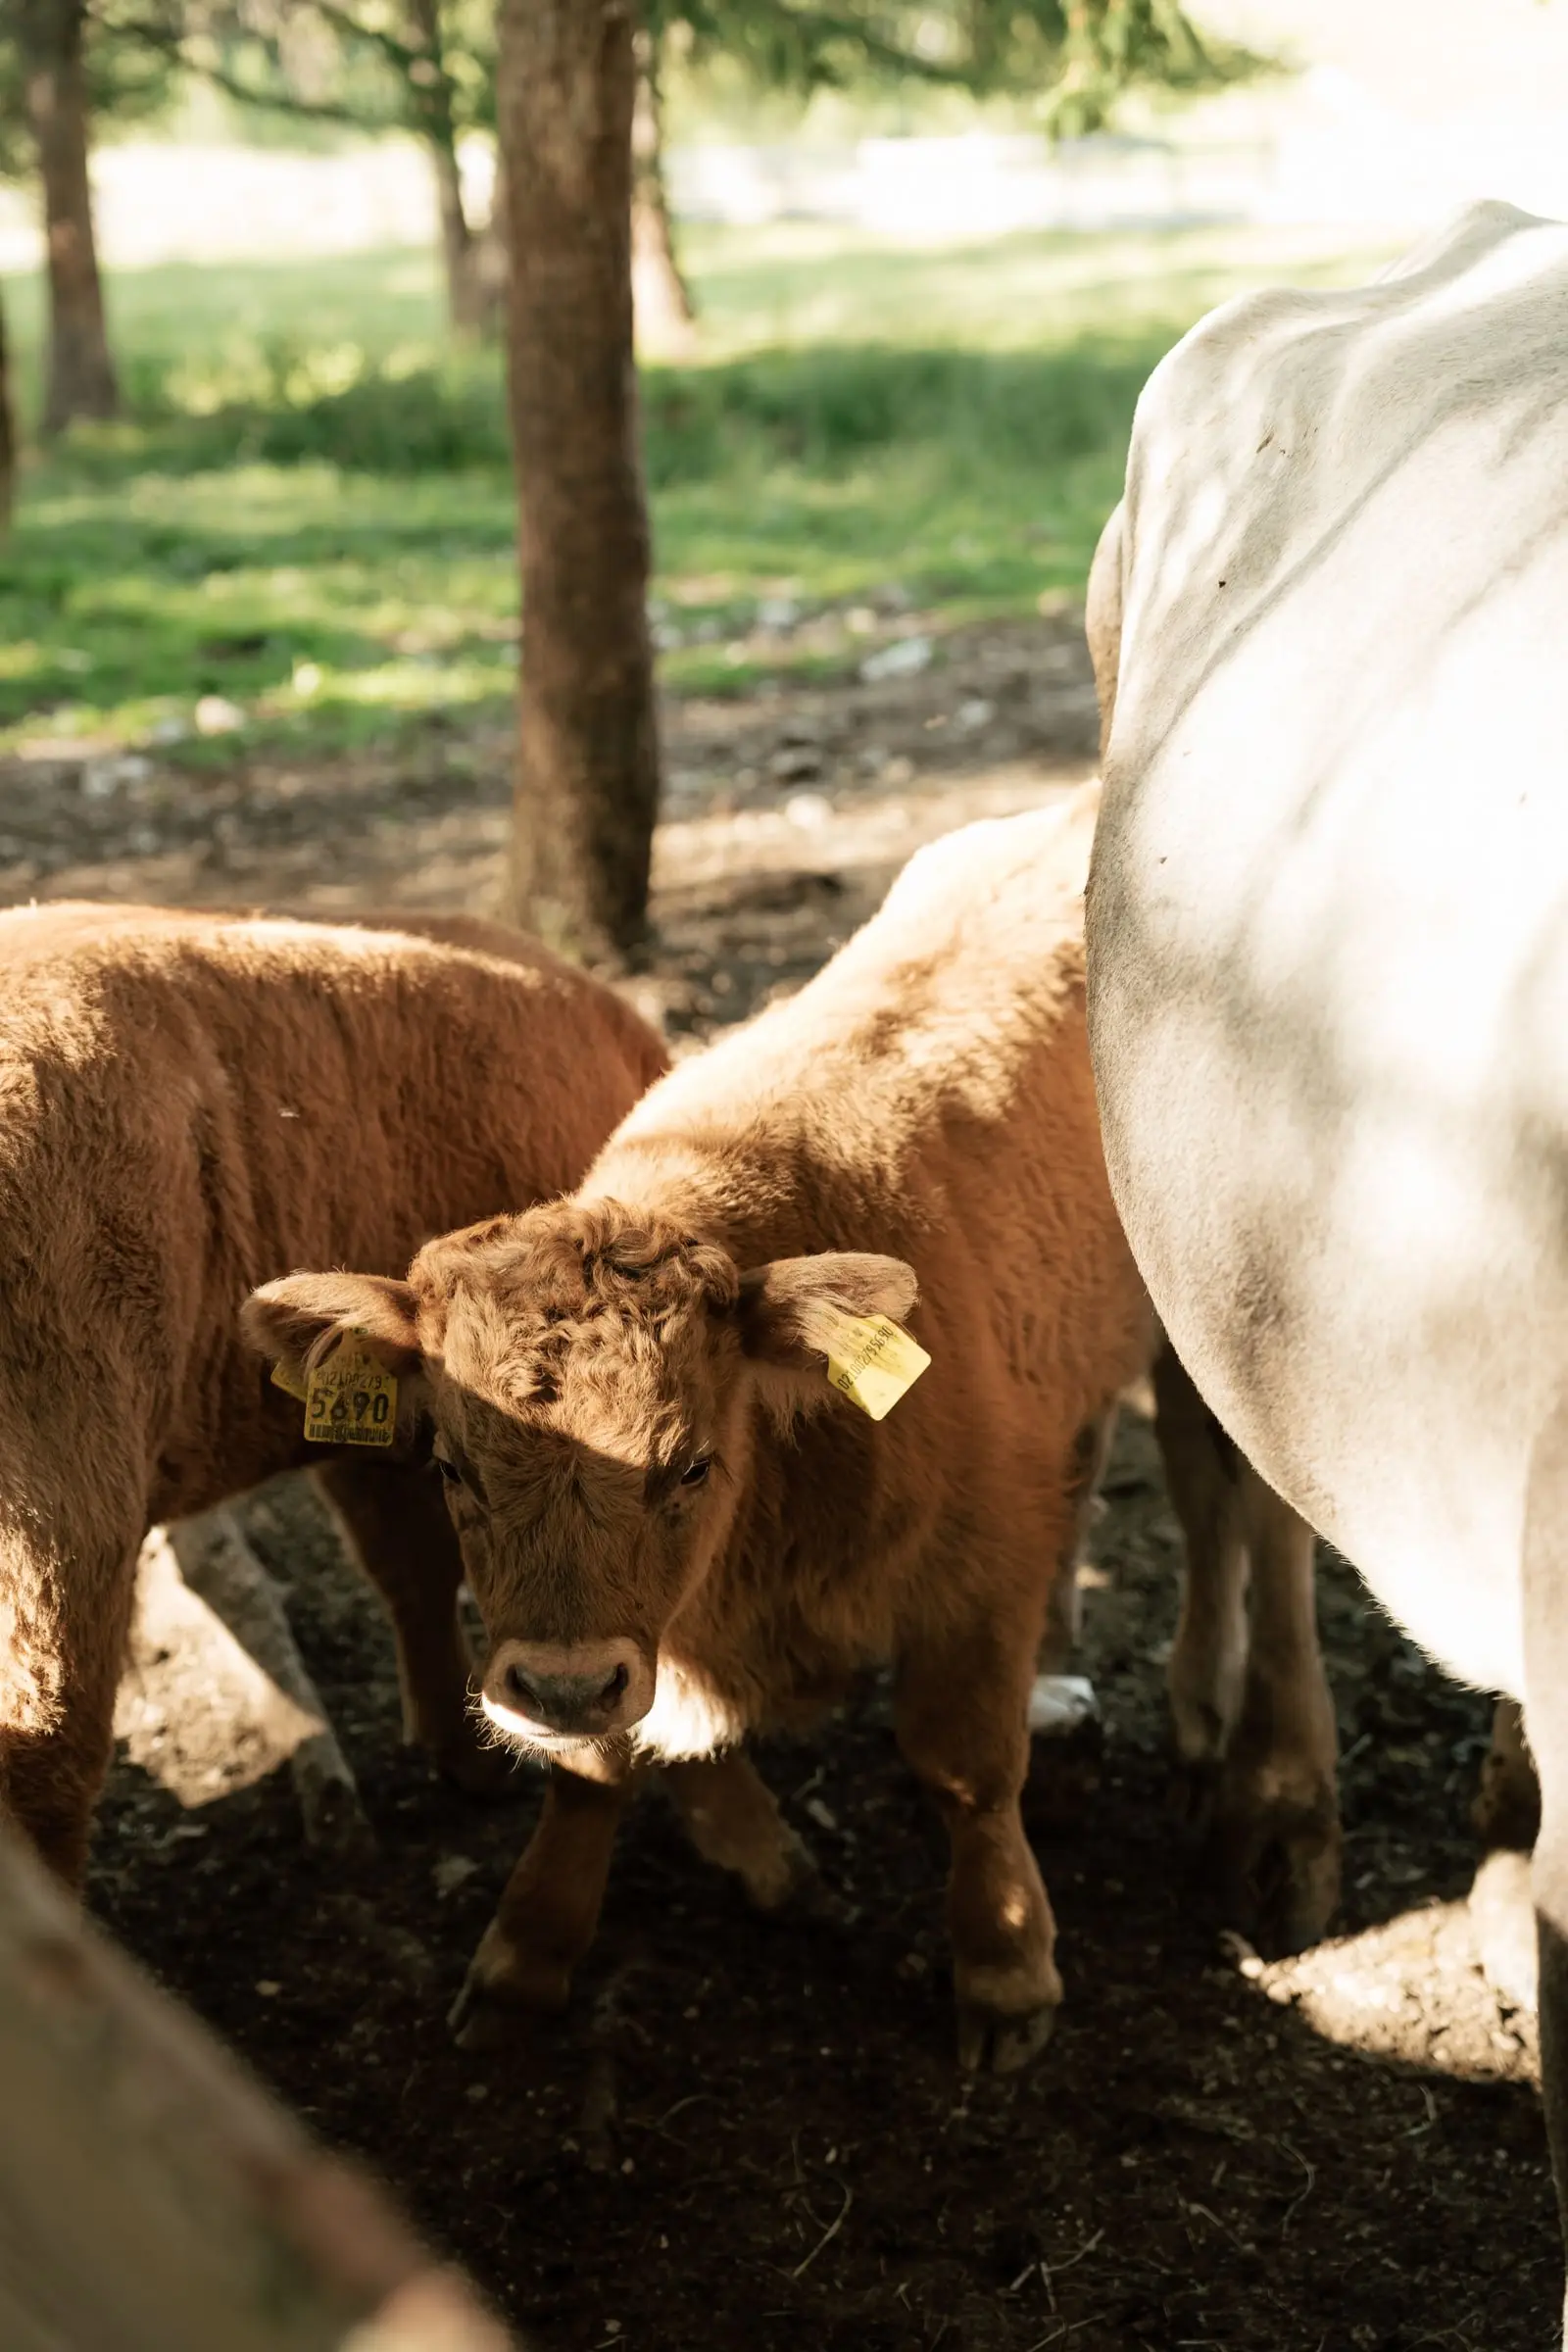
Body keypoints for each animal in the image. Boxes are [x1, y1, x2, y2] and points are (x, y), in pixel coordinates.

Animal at [244, 787, 1340, 2072]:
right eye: (452, 1466)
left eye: (690, 1464)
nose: (558, 1683)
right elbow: (595, 1771)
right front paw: (530, 1954)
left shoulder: (973, 1571)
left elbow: (964, 1763)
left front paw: (1005, 1971)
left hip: (1210, 1316)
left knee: (1237, 1497)